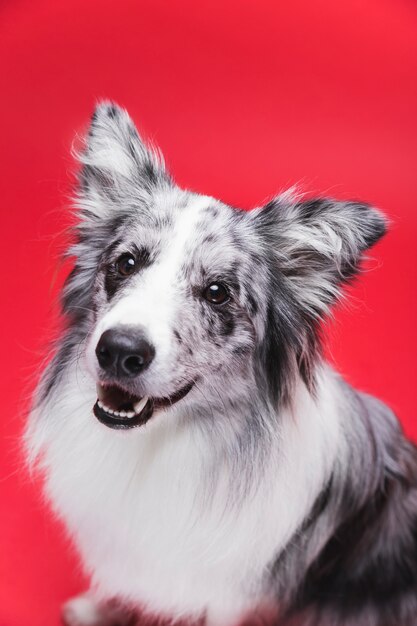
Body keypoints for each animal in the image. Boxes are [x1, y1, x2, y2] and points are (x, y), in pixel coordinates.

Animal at [25, 102, 416, 624]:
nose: (118, 350)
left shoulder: (235, 597)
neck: (162, 446)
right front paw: (101, 607)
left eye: (217, 292)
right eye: (126, 263)